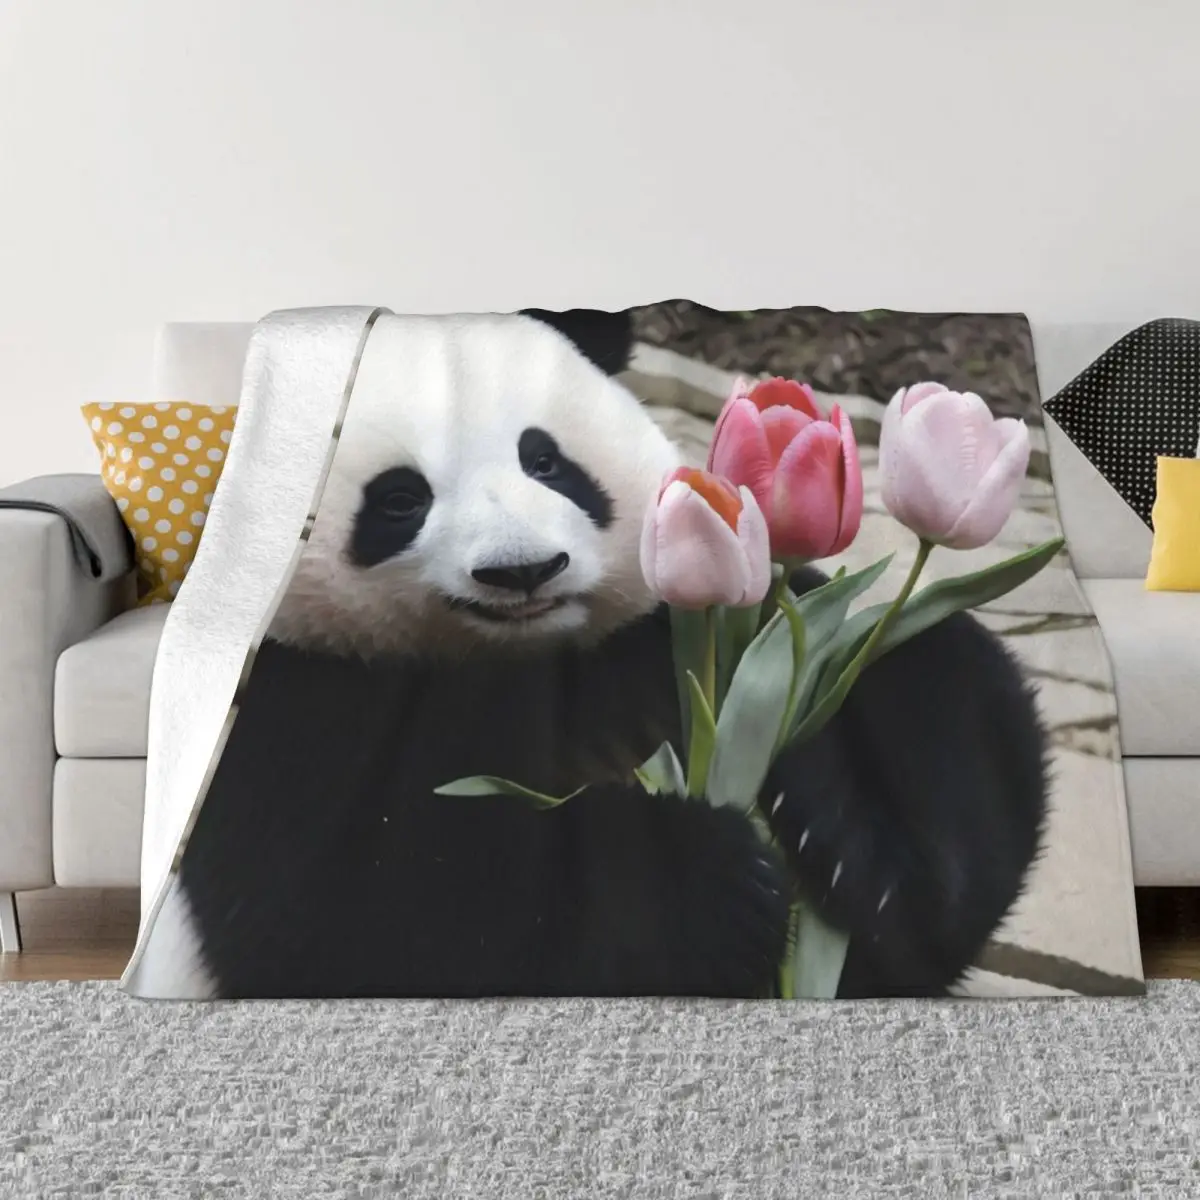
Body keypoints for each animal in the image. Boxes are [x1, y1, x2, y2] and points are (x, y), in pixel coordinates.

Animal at [171, 308, 1048, 1001]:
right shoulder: (285, 712)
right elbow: (358, 915)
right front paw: (713, 880)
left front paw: (845, 844)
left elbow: (934, 687)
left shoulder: (682, 621)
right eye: (398, 499)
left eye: (545, 461)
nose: (523, 570)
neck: (516, 656)